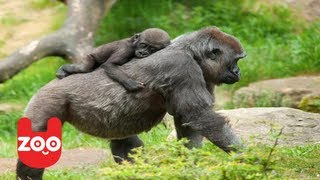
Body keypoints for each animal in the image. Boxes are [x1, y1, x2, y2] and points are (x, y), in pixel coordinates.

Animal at [16, 26, 248, 179]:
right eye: (236, 60)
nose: (238, 72)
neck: (191, 51)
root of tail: (47, 85)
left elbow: (190, 124)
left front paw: (188, 166)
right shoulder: (182, 67)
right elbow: (199, 116)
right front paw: (247, 157)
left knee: (126, 143)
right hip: (47, 100)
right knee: (36, 143)